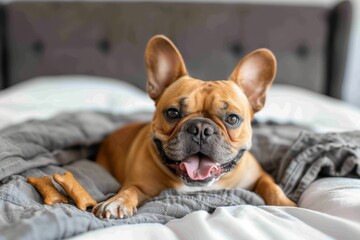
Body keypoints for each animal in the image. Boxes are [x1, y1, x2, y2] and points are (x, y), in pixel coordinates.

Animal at [92, 34, 296, 219]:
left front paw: (287, 204)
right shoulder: (138, 184)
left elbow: (272, 186)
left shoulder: (260, 176)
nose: (201, 128)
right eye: (172, 113)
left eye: (232, 118)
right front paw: (116, 202)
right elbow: (130, 189)